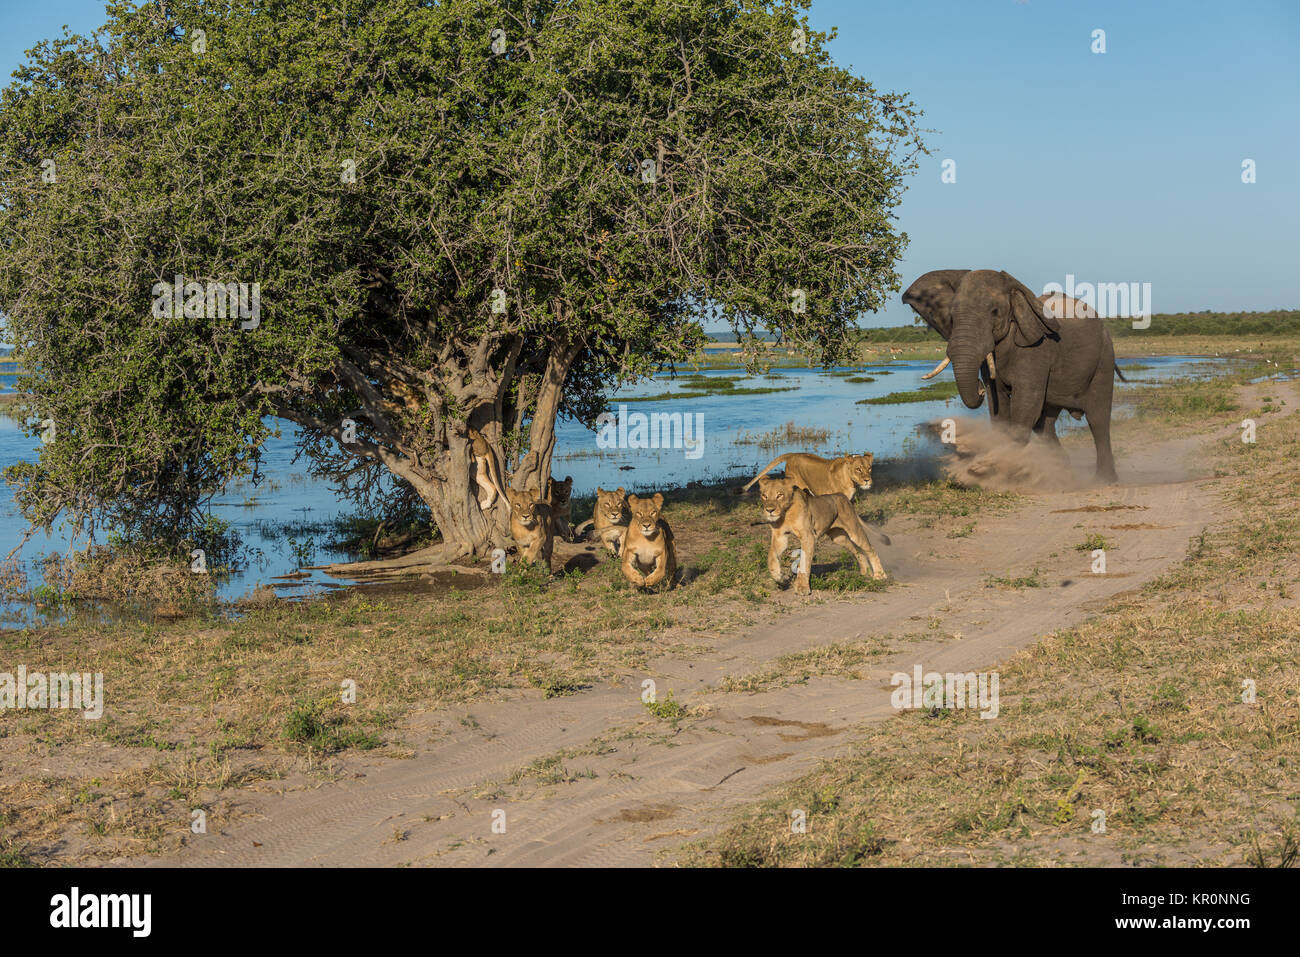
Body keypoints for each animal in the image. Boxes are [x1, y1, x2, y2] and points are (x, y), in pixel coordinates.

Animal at [759, 475, 889, 595]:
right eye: (764, 496)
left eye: (779, 495)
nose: (769, 510)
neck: (785, 514)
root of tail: (842, 496)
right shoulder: (779, 537)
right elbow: (771, 555)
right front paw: (778, 577)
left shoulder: (808, 536)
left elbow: (804, 562)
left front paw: (802, 588)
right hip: (838, 537)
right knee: (856, 550)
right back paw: (865, 572)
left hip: (854, 531)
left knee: (870, 549)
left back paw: (880, 575)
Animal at [899, 269, 1123, 481]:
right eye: (952, 317)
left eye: (994, 311)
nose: (979, 388)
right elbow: (998, 404)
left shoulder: (1037, 349)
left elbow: (1026, 404)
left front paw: (990, 469)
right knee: (1045, 425)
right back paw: (1064, 475)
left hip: (1104, 357)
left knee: (1097, 418)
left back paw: (1103, 480)